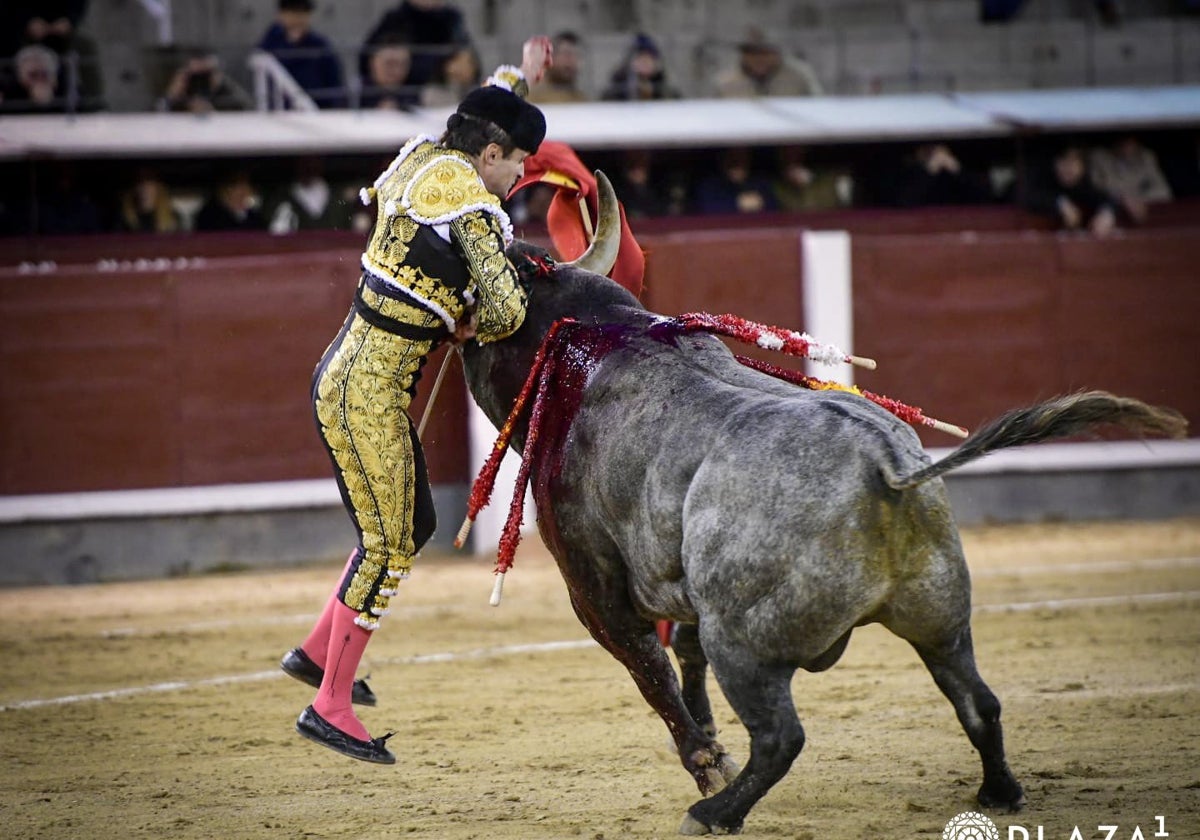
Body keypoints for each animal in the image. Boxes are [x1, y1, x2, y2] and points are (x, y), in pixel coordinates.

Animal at [456, 175, 1180, 835]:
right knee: (978, 701)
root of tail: (886, 466)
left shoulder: (594, 587)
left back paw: (715, 811)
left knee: (782, 737)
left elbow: (649, 667)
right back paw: (998, 793)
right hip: (941, 615)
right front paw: (709, 741)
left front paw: (706, 761)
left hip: (744, 642)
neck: (596, 336)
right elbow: (681, 654)